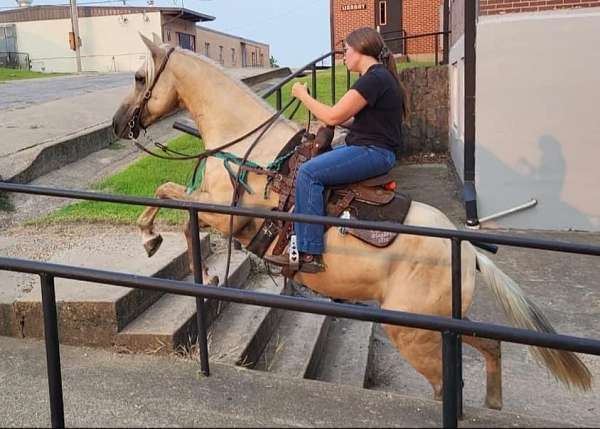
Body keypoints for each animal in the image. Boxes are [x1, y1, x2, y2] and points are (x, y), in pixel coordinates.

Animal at [111, 35, 592, 406]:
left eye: (139, 77)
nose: (117, 124)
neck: (250, 149)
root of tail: (469, 249)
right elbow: (173, 200)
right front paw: (196, 269)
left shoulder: (229, 216)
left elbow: (168, 194)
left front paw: (156, 242)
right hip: (442, 324)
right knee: (488, 347)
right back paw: (493, 403)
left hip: (412, 330)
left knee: (444, 384)